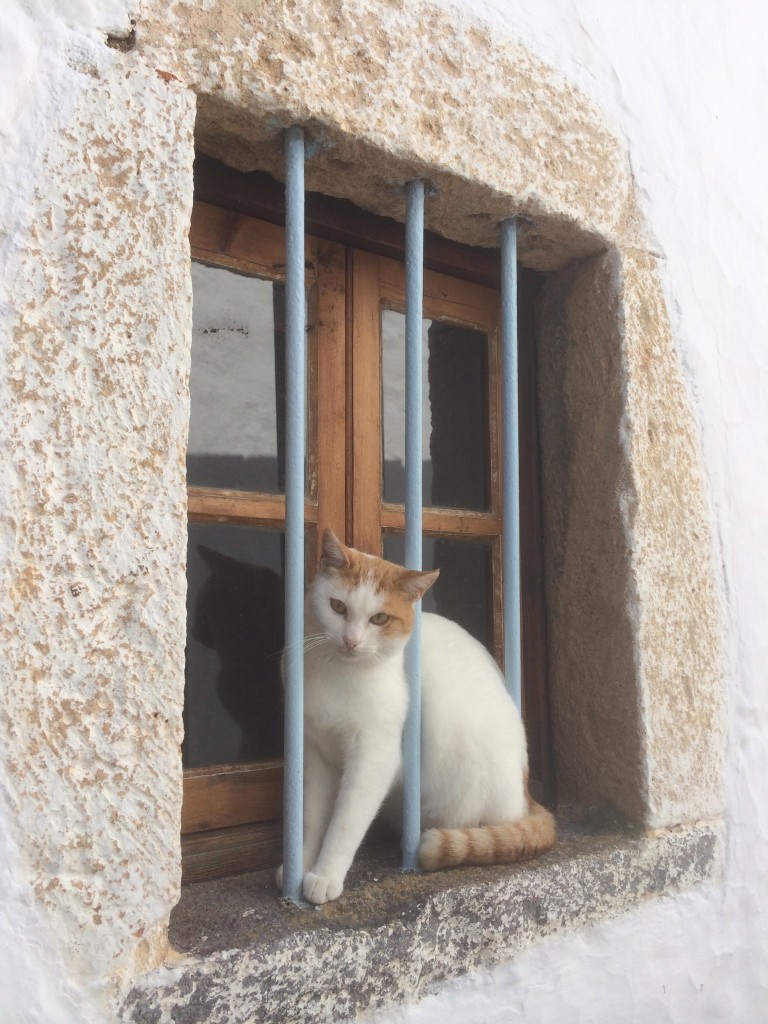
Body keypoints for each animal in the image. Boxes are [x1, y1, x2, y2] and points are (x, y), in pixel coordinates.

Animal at [280, 528, 557, 905]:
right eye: (337, 606)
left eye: (379, 619)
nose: (351, 641)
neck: (339, 673)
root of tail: (526, 792)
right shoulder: (316, 752)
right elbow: (311, 818)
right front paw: (300, 866)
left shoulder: (375, 759)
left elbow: (345, 823)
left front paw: (325, 875)